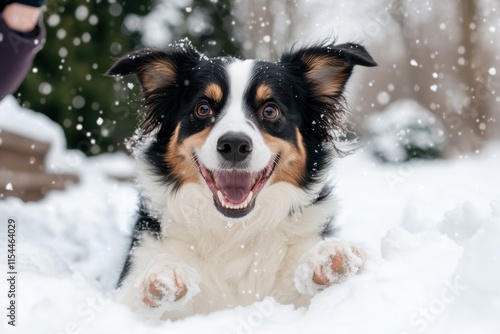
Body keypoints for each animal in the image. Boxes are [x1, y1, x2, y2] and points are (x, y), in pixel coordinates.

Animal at [107, 39, 376, 318]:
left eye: (270, 110)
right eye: (203, 108)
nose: (234, 145)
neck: (234, 231)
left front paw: (331, 257)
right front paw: (163, 274)